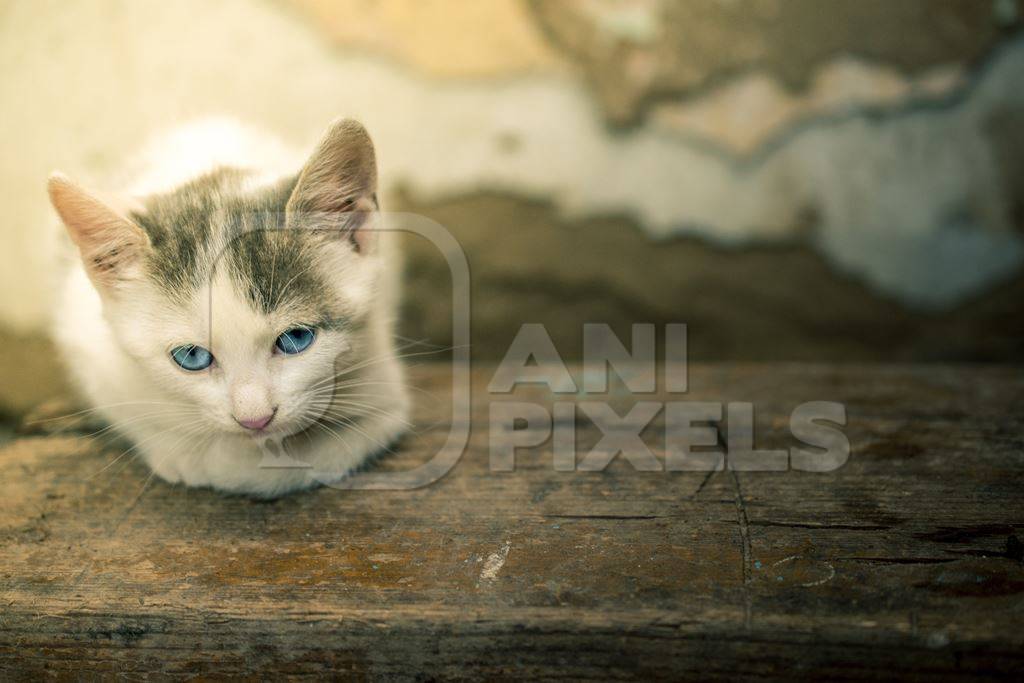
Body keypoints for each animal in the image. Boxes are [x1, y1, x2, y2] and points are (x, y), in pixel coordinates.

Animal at [47, 118, 407, 497]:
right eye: (192, 356)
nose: (255, 419)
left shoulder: (383, 384)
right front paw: (193, 454)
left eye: (296, 339)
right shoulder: (90, 350)